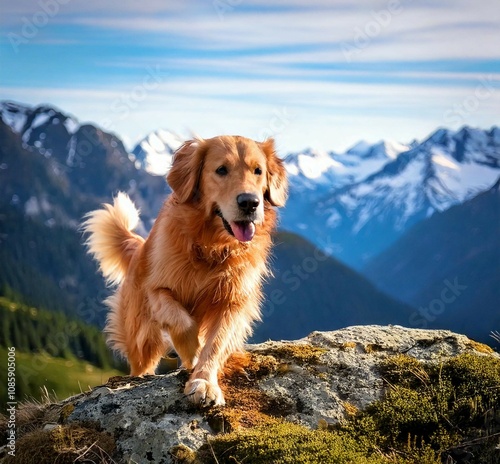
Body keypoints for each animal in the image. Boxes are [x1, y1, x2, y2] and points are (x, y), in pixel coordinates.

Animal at [83, 135, 288, 406]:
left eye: (258, 171)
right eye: (221, 170)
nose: (250, 203)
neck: (211, 247)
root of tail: (138, 249)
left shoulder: (233, 301)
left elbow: (217, 342)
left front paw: (204, 381)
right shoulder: (157, 290)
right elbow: (182, 322)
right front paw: (191, 352)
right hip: (140, 336)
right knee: (141, 364)